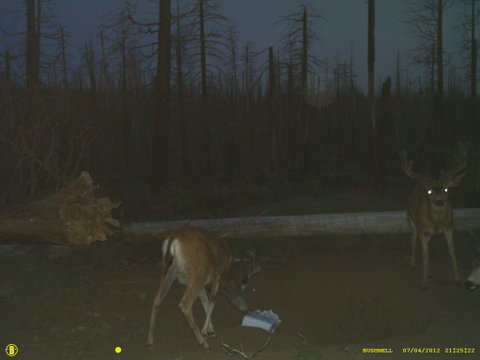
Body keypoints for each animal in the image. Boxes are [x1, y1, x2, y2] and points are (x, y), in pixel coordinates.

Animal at [398, 143, 468, 290]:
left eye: (446, 189)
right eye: (429, 191)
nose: (439, 201)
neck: (436, 222)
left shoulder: (449, 226)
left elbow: (452, 251)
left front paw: (458, 279)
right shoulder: (422, 229)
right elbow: (423, 254)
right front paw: (424, 282)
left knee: (428, 247)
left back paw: (429, 272)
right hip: (411, 220)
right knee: (413, 239)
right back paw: (413, 265)